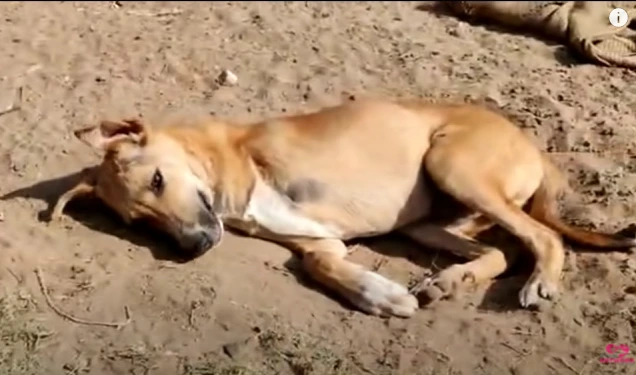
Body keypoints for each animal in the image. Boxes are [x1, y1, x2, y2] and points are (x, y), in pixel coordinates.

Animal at [51, 99, 636, 318]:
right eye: (138, 222)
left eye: (158, 179)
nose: (195, 247)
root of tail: (533, 147)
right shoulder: (319, 240)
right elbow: (319, 263)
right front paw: (379, 294)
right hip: (431, 223)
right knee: (500, 250)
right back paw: (450, 281)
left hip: (452, 164)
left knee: (542, 237)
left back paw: (540, 281)